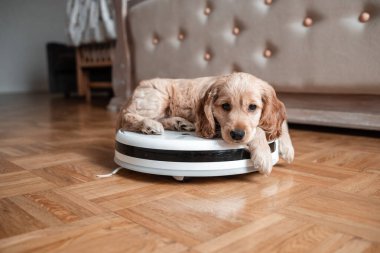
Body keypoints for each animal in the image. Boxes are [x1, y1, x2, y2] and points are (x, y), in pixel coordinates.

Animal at [117, 71, 296, 174]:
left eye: (252, 107)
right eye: (225, 106)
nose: (237, 135)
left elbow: (281, 123)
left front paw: (287, 148)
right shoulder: (217, 128)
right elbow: (257, 130)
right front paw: (264, 156)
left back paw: (179, 123)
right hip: (157, 97)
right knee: (125, 117)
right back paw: (149, 125)